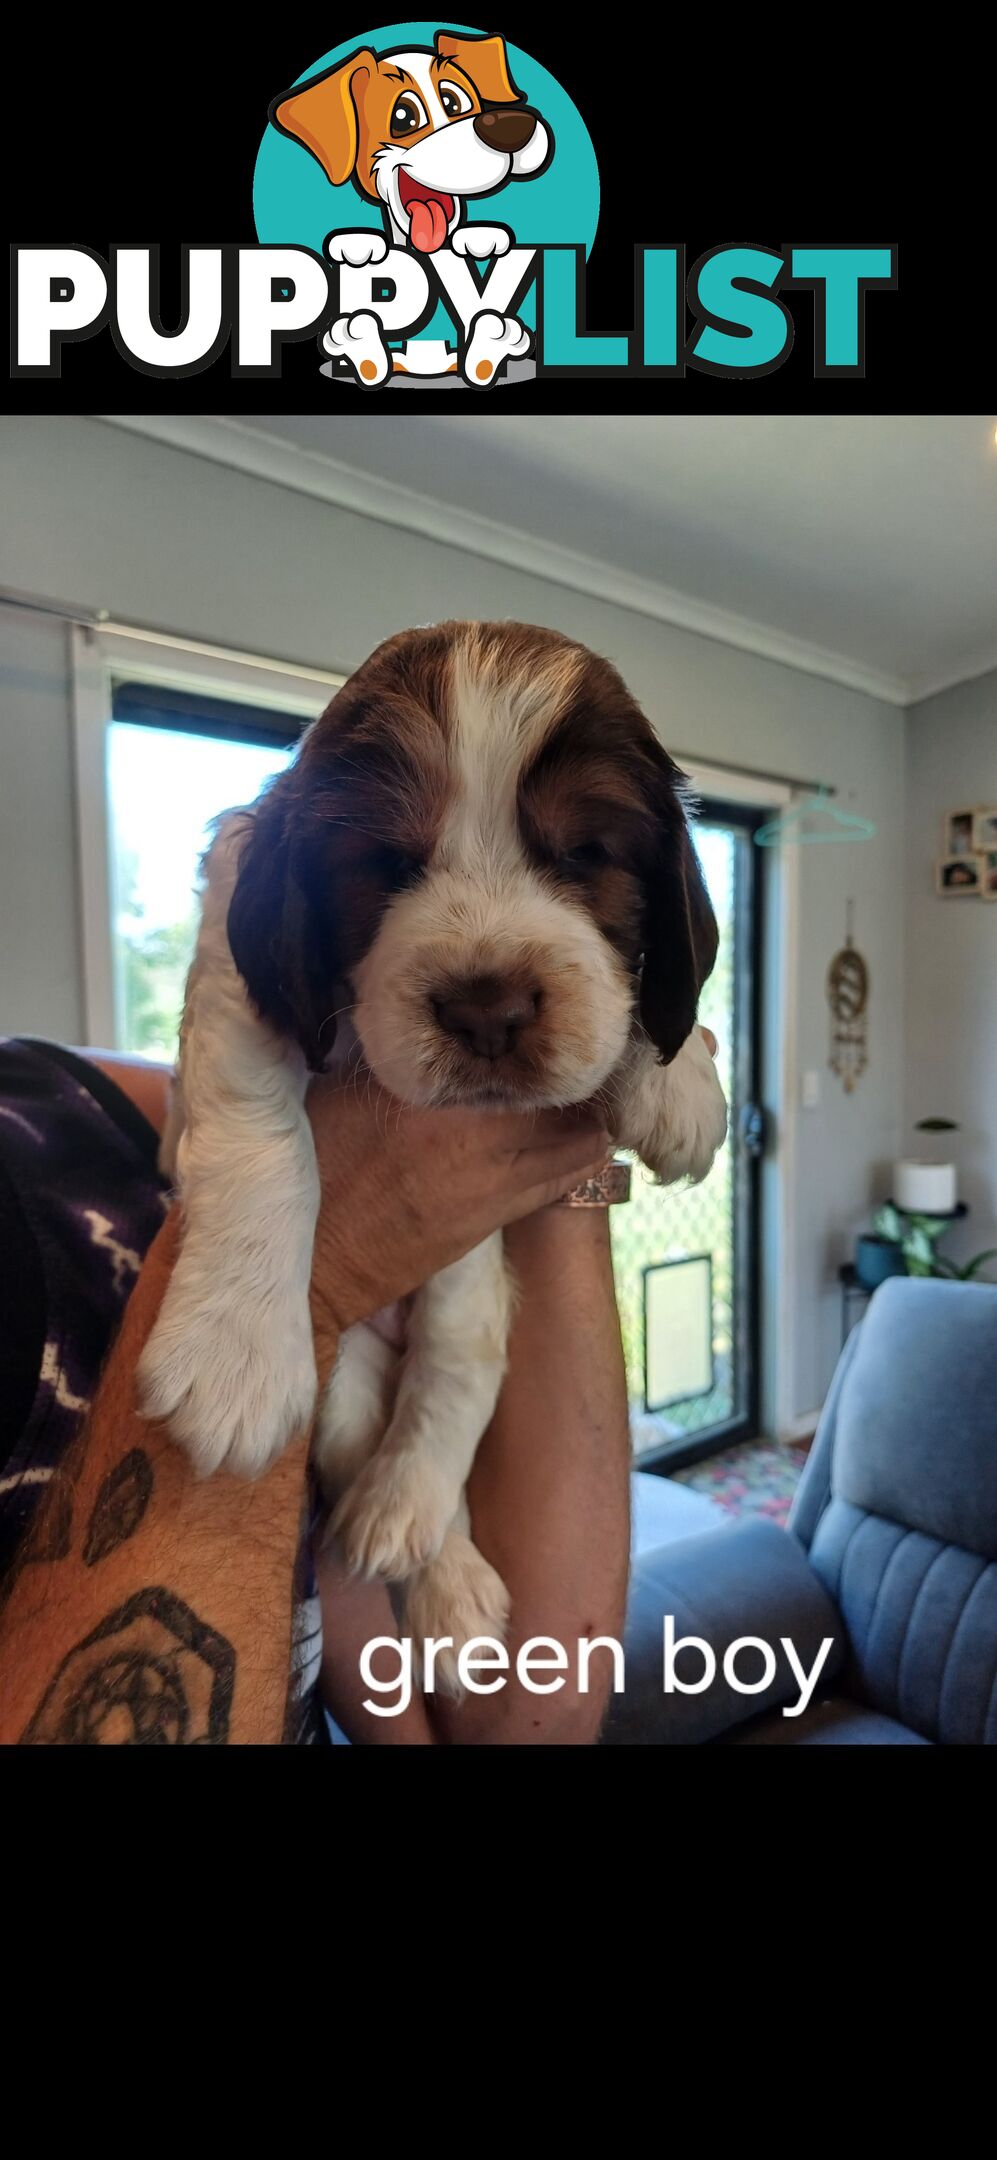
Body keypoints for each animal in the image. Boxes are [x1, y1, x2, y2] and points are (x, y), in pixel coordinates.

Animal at [140, 617, 729, 1676]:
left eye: (585, 852)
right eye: (382, 863)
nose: (487, 1008)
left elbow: (638, 993)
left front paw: (679, 1084)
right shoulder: (232, 956)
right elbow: (259, 1129)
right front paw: (236, 1352)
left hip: (473, 1283)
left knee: (458, 1369)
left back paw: (426, 1553)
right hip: (346, 1369)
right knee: (363, 1434)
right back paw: (430, 1565)